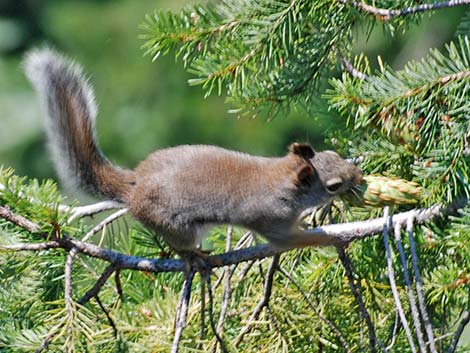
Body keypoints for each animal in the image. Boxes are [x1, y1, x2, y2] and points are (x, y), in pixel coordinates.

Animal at [23, 48, 364, 254]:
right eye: (333, 186)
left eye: (333, 155)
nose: (359, 175)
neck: (282, 177)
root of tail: (134, 185)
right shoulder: (271, 221)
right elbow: (292, 240)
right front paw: (328, 236)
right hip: (175, 225)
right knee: (179, 246)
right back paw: (195, 258)